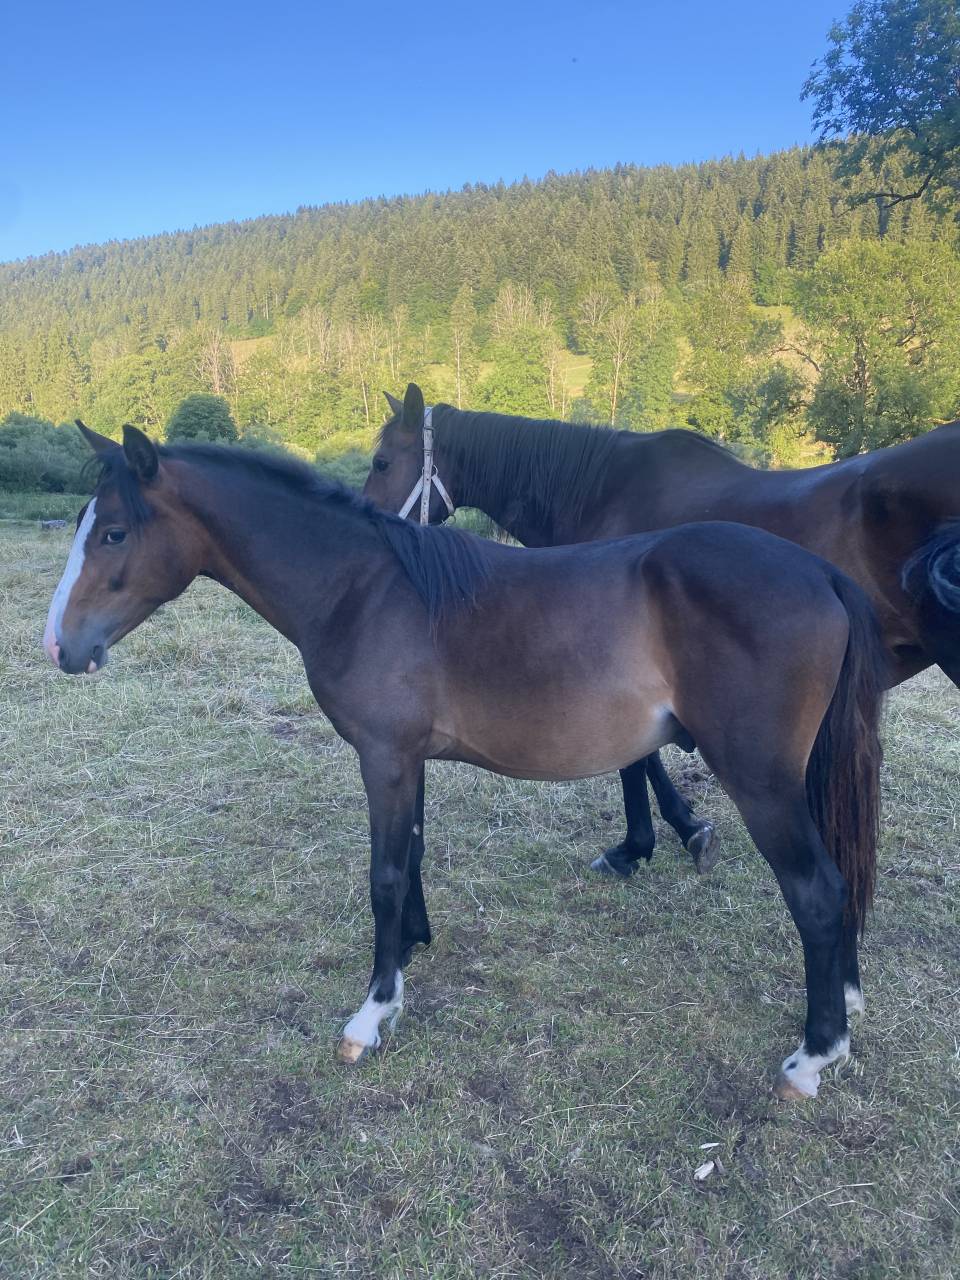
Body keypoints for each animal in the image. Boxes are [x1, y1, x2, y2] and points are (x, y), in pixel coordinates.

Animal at [43, 422, 885, 1099]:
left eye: (113, 534)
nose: (59, 647)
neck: (363, 588)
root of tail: (817, 572)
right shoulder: (407, 758)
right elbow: (411, 854)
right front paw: (414, 946)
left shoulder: (383, 756)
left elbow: (384, 874)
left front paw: (373, 1011)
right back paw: (844, 1002)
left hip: (763, 784)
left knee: (817, 892)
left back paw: (814, 1057)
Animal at [364, 384, 960, 877]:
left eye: (381, 461)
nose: (365, 526)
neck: (602, 492)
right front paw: (680, 829)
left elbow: (636, 761)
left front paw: (645, 843)